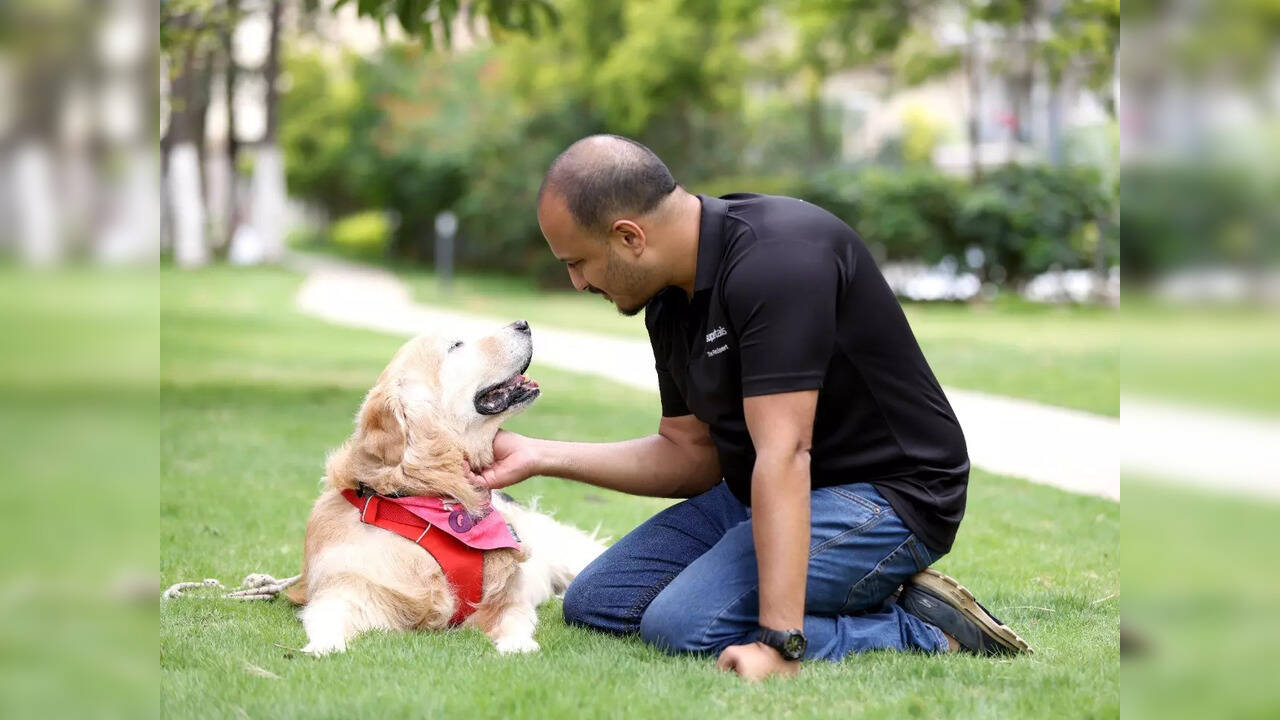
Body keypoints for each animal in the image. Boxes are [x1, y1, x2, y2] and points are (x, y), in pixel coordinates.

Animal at [288, 317, 606, 650]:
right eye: (456, 345)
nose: (523, 323)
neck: (428, 493)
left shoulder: (508, 597)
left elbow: (514, 617)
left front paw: (517, 643)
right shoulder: (346, 589)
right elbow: (327, 618)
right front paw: (323, 647)